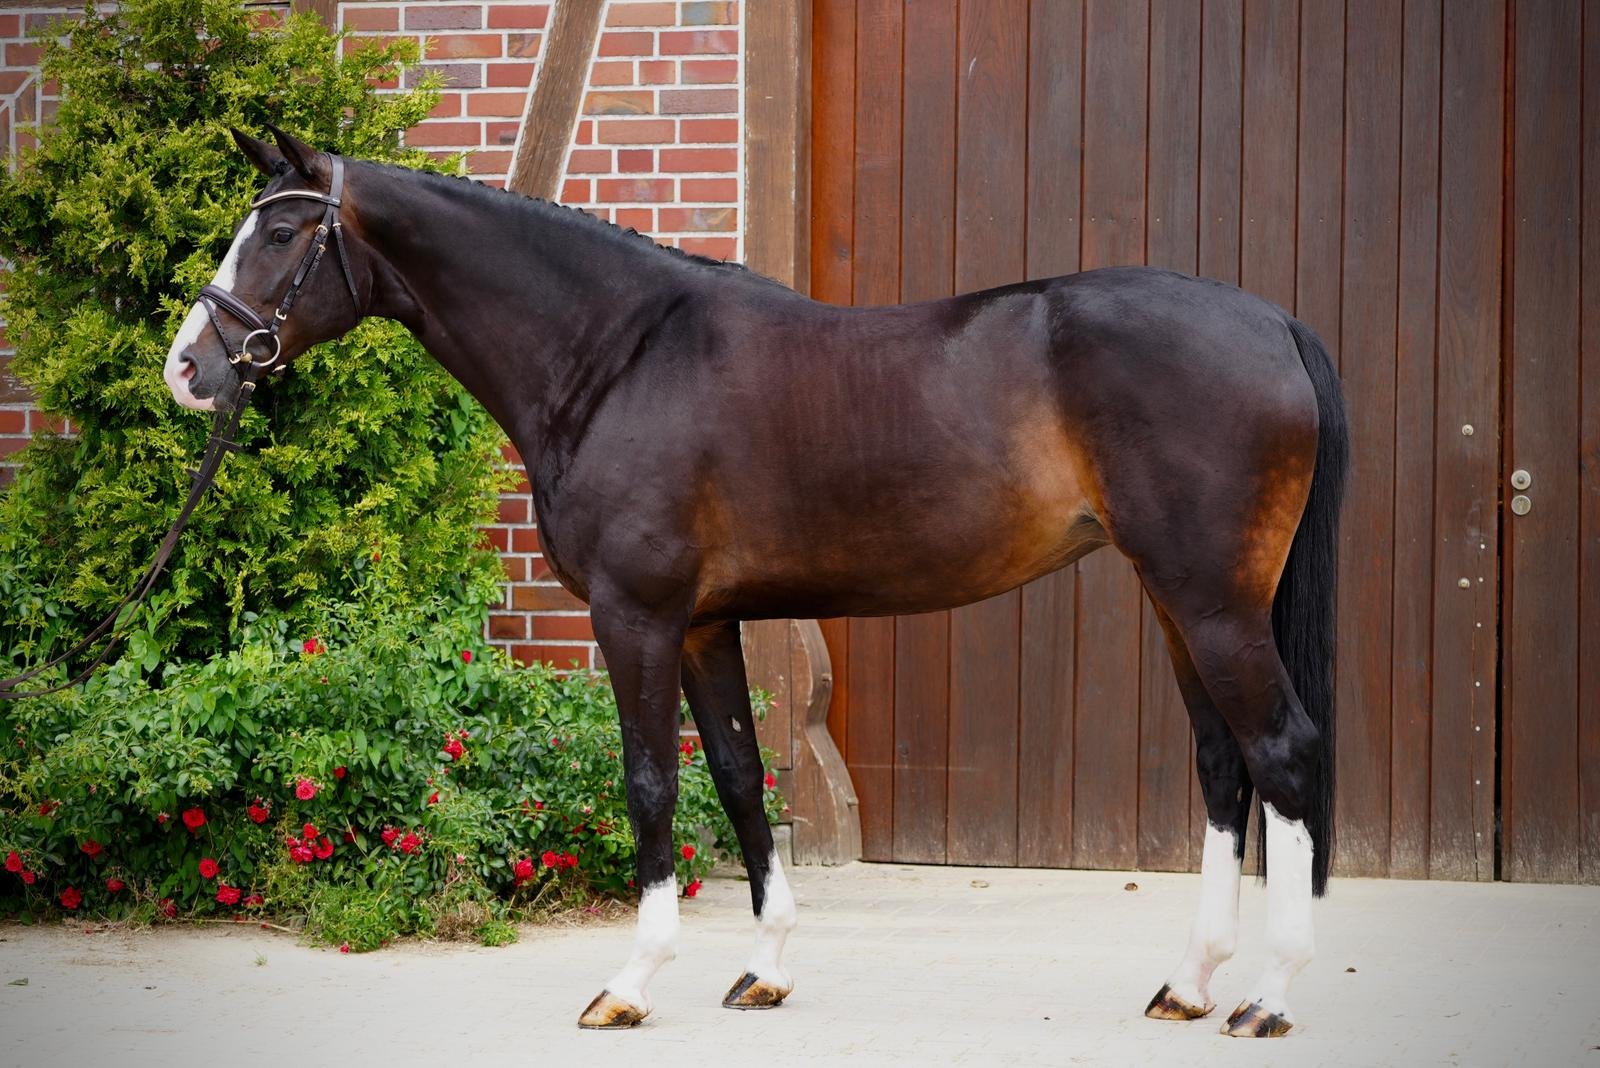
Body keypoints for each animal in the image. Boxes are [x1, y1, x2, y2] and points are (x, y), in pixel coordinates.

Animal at [164, 126, 1347, 1038]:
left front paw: (628, 984)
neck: (617, 357)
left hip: (1212, 602)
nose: (188, 369)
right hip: (1181, 599)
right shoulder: (703, 625)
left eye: (280, 233)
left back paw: (1270, 998)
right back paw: (1189, 984)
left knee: (1282, 752)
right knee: (1224, 765)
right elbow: (738, 778)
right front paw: (766, 969)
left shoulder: (634, 619)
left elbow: (649, 783)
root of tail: (1273, 322)